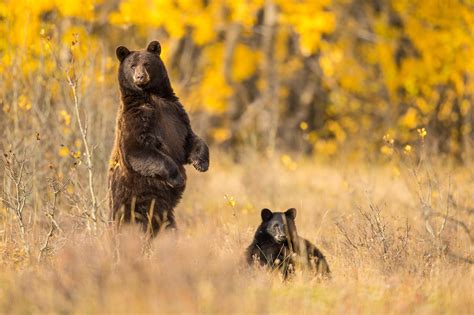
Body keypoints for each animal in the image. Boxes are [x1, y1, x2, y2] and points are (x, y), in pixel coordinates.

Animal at [110, 40, 210, 233]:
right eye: (132, 65)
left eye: (146, 63)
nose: (140, 77)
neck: (150, 96)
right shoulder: (136, 120)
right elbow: (138, 150)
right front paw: (177, 178)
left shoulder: (176, 116)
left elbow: (190, 140)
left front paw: (201, 163)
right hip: (132, 205)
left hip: (164, 215)